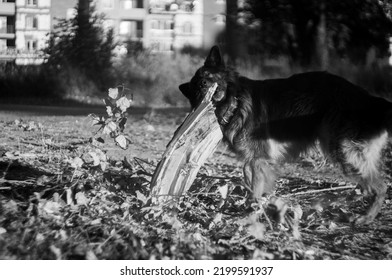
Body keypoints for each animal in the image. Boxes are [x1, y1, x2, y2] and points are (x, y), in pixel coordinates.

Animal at [179, 46, 390, 225]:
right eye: (196, 87)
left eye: (207, 75)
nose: (203, 84)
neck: (235, 103)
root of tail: (370, 100)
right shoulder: (255, 159)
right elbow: (249, 177)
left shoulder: (258, 158)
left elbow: (255, 187)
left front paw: (250, 212)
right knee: (369, 185)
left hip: (344, 151)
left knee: (381, 187)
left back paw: (366, 217)